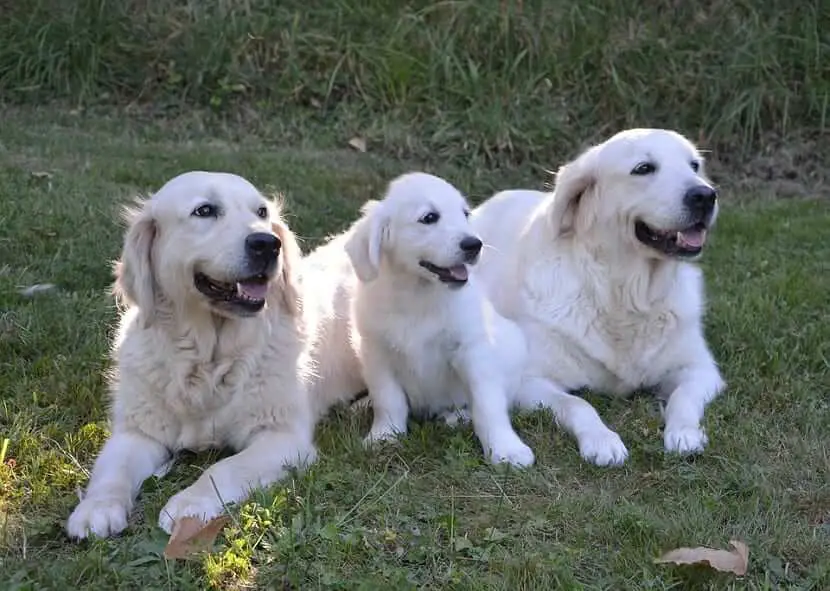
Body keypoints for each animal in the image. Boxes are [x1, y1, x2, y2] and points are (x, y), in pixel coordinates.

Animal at [65, 172, 316, 540]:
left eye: (262, 212)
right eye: (205, 210)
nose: (268, 244)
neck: (208, 358)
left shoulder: (283, 436)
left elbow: (224, 467)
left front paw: (189, 503)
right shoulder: (137, 431)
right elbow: (113, 470)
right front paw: (96, 508)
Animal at [342, 173, 532, 470]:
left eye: (465, 214)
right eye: (429, 218)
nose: (474, 245)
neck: (418, 294)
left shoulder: (472, 350)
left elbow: (488, 404)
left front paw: (506, 449)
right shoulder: (376, 353)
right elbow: (388, 399)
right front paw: (384, 436)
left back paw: (457, 417)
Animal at [472, 128, 724, 468]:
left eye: (694, 165)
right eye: (644, 168)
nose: (705, 196)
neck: (625, 294)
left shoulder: (701, 369)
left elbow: (682, 398)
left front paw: (684, 433)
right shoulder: (528, 380)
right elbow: (578, 404)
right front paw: (603, 441)